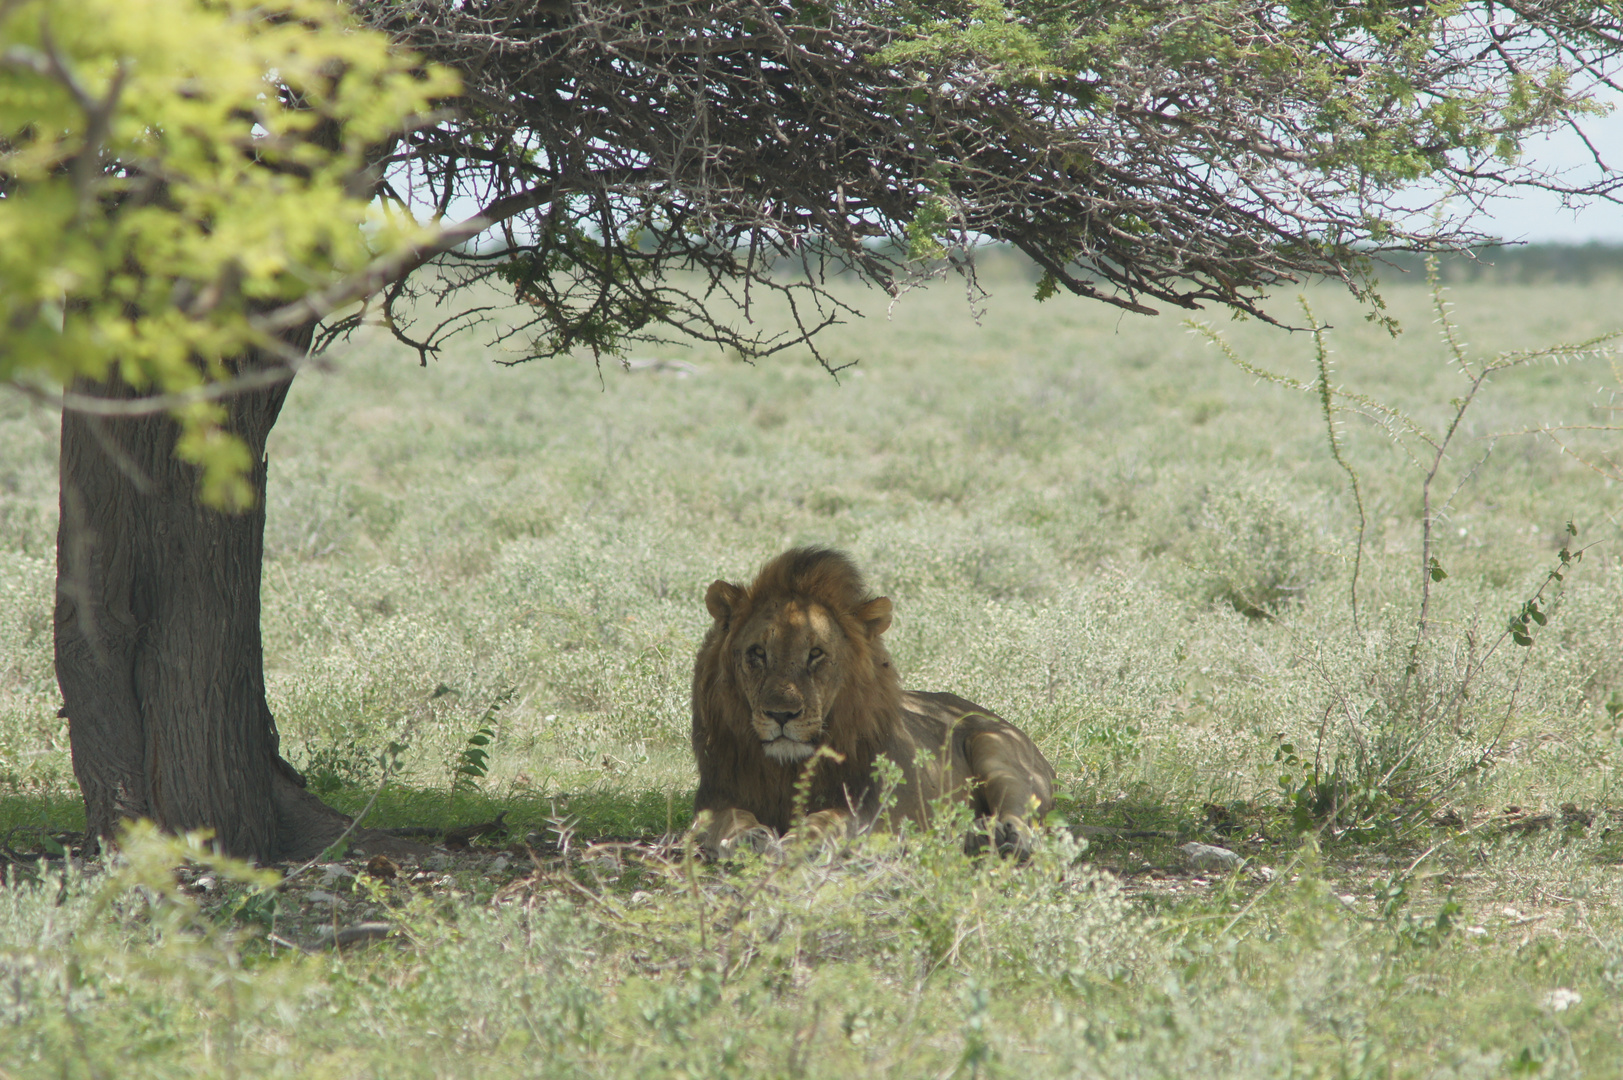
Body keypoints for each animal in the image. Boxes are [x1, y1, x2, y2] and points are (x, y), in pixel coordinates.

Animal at [684, 548, 1051, 857]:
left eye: (815, 654)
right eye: (757, 653)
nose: (781, 714)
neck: (786, 768)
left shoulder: (864, 807)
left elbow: (825, 819)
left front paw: (799, 841)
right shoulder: (716, 796)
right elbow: (728, 817)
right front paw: (747, 837)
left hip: (995, 748)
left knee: (1022, 811)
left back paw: (1004, 837)